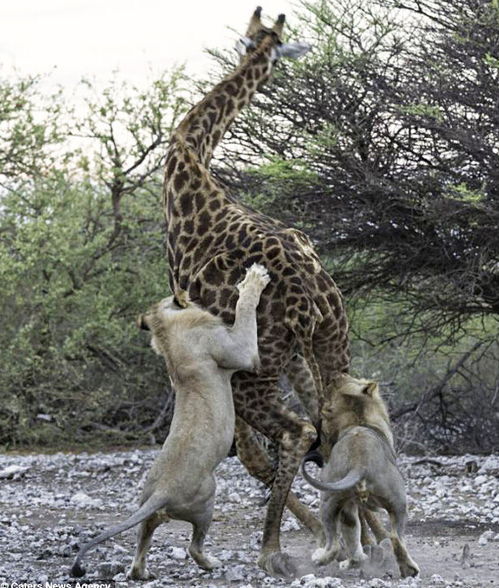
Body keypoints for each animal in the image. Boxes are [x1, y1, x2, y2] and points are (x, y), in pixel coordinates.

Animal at [162, 5, 350, 576]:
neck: (187, 161)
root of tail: (310, 296)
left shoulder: (189, 313)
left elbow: (246, 451)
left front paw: (313, 534)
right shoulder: (294, 356)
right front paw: (329, 535)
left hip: (258, 369)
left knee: (296, 431)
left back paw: (273, 549)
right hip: (329, 342)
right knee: (338, 421)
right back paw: (354, 541)